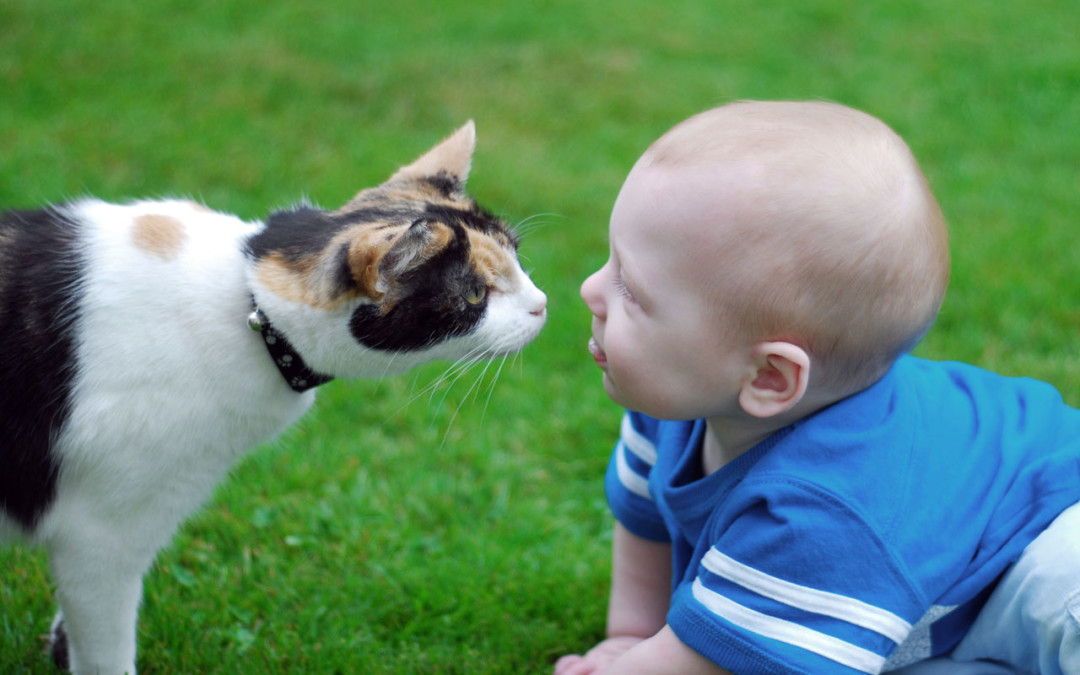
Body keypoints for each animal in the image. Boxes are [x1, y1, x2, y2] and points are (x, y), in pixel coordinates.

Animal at [0, 122, 544, 673]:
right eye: (475, 296)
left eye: (518, 259)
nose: (543, 304)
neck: (250, 303)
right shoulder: (99, 536)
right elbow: (106, 649)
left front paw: (59, 647)